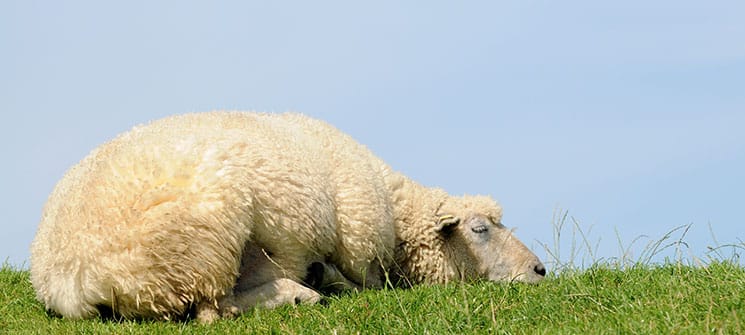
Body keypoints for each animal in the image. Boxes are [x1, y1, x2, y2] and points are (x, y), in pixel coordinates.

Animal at [29, 112, 544, 322]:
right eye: (480, 230)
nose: (540, 270)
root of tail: (71, 274)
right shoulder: (360, 246)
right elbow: (366, 283)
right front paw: (329, 282)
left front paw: (324, 277)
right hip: (204, 243)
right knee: (214, 310)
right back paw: (300, 294)